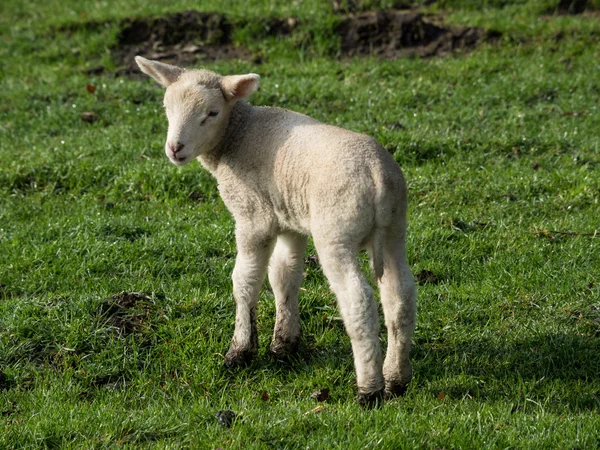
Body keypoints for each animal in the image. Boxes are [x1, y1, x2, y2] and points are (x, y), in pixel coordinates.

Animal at [136, 55, 418, 404]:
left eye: (212, 113)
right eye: (166, 107)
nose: (175, 148)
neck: (236, 135)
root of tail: (378, 175)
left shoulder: (253, 217)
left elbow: (245, 281)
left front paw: (240, 352)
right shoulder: (289, 219)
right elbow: (284, 276)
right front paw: (283, 345)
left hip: (336, 232)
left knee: (358, 300)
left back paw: (369, 388)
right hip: (395, 228)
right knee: (400, 296)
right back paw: (396, 379)